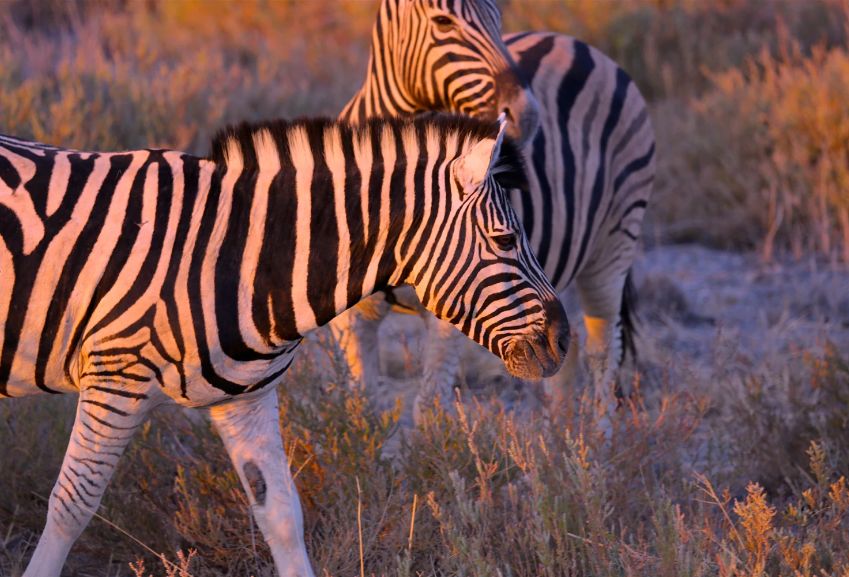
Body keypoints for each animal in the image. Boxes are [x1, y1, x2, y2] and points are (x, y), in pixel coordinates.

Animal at [0, 113, 568, 577]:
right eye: (505, 240)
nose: (562, 341)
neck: (236, 255)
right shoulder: (115, 375)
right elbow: (72, 505)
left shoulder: (245, 397)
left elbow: (282, 515)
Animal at [334, 0, 655, 418]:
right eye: (443, 21)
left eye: (499, 16)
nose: (527, 114)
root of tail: (570, 41)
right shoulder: (353, 318)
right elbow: (362, 403)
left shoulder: (458, 297)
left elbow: (429, 403)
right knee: (568, 354)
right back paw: (564, 434)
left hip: (616, 240)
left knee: (603, 351)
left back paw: (597, 435)